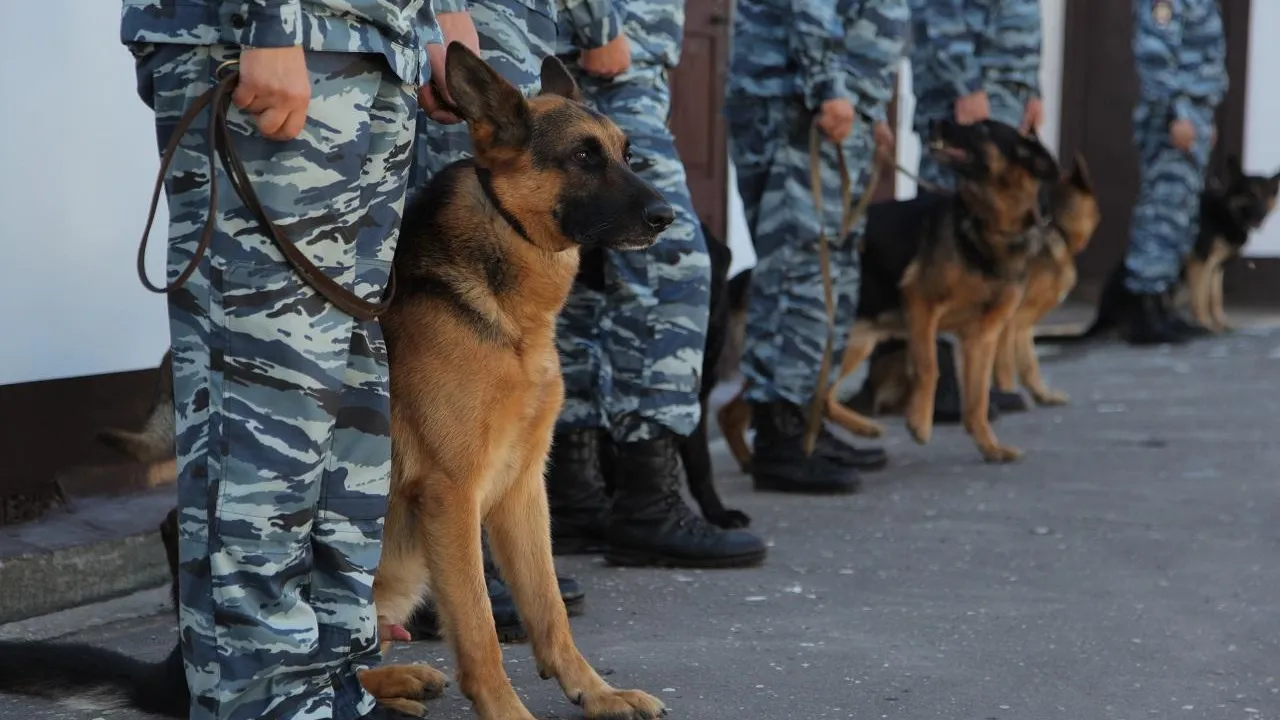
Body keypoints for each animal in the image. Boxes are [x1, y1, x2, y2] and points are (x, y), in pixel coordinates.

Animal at [2, 43, 670, 717]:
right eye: (583, 156)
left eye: (625, 154)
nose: (665, 216)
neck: (506, 306)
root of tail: (170, 674)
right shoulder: (452, 494)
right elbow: (481, 630)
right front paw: (509, 711)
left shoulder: (522, 489)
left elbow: (549, 609)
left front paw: (597, 693)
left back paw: (396, 681)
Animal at [1075, 154, 1274, 338]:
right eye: (1250, 194)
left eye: (1267, 195)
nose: (1261, 215)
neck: (1226, 211)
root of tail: (1102, 314)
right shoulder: (1200, 264)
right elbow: (1201, 298)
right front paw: (1207, 325)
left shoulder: (1216, 268)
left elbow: (1215, 297)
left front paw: (1220, 323)